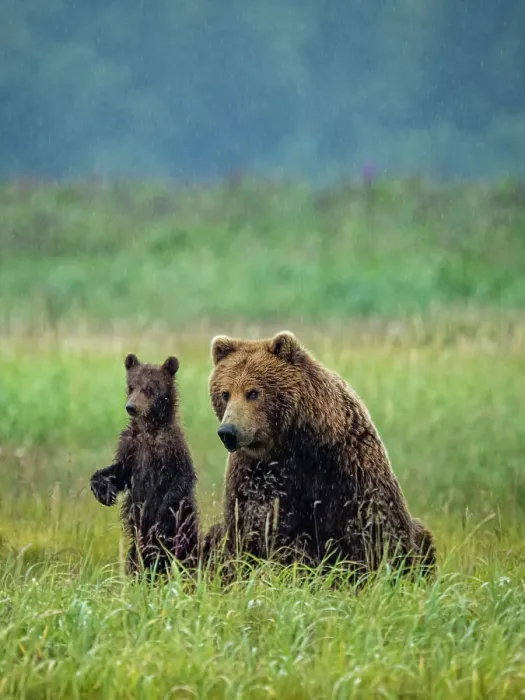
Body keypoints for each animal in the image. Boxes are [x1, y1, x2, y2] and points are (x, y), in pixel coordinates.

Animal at [90, 353, 199, 575]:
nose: (131, 407)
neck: (149, 430)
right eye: (132, 386)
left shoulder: (172, 449)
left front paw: (161, 518)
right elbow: (119, 471)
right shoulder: (131, 449)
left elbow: (181, 480)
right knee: (137, 560)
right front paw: (103, 489)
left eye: (149, 388)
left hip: (184, 535)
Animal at [206, 331, 435, 580]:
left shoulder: (343, 466)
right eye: (225, 394)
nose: (228, 432)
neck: (290, 443)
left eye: (253, 392)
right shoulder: (255, 475)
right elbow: (249, 529)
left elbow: (371, 527)